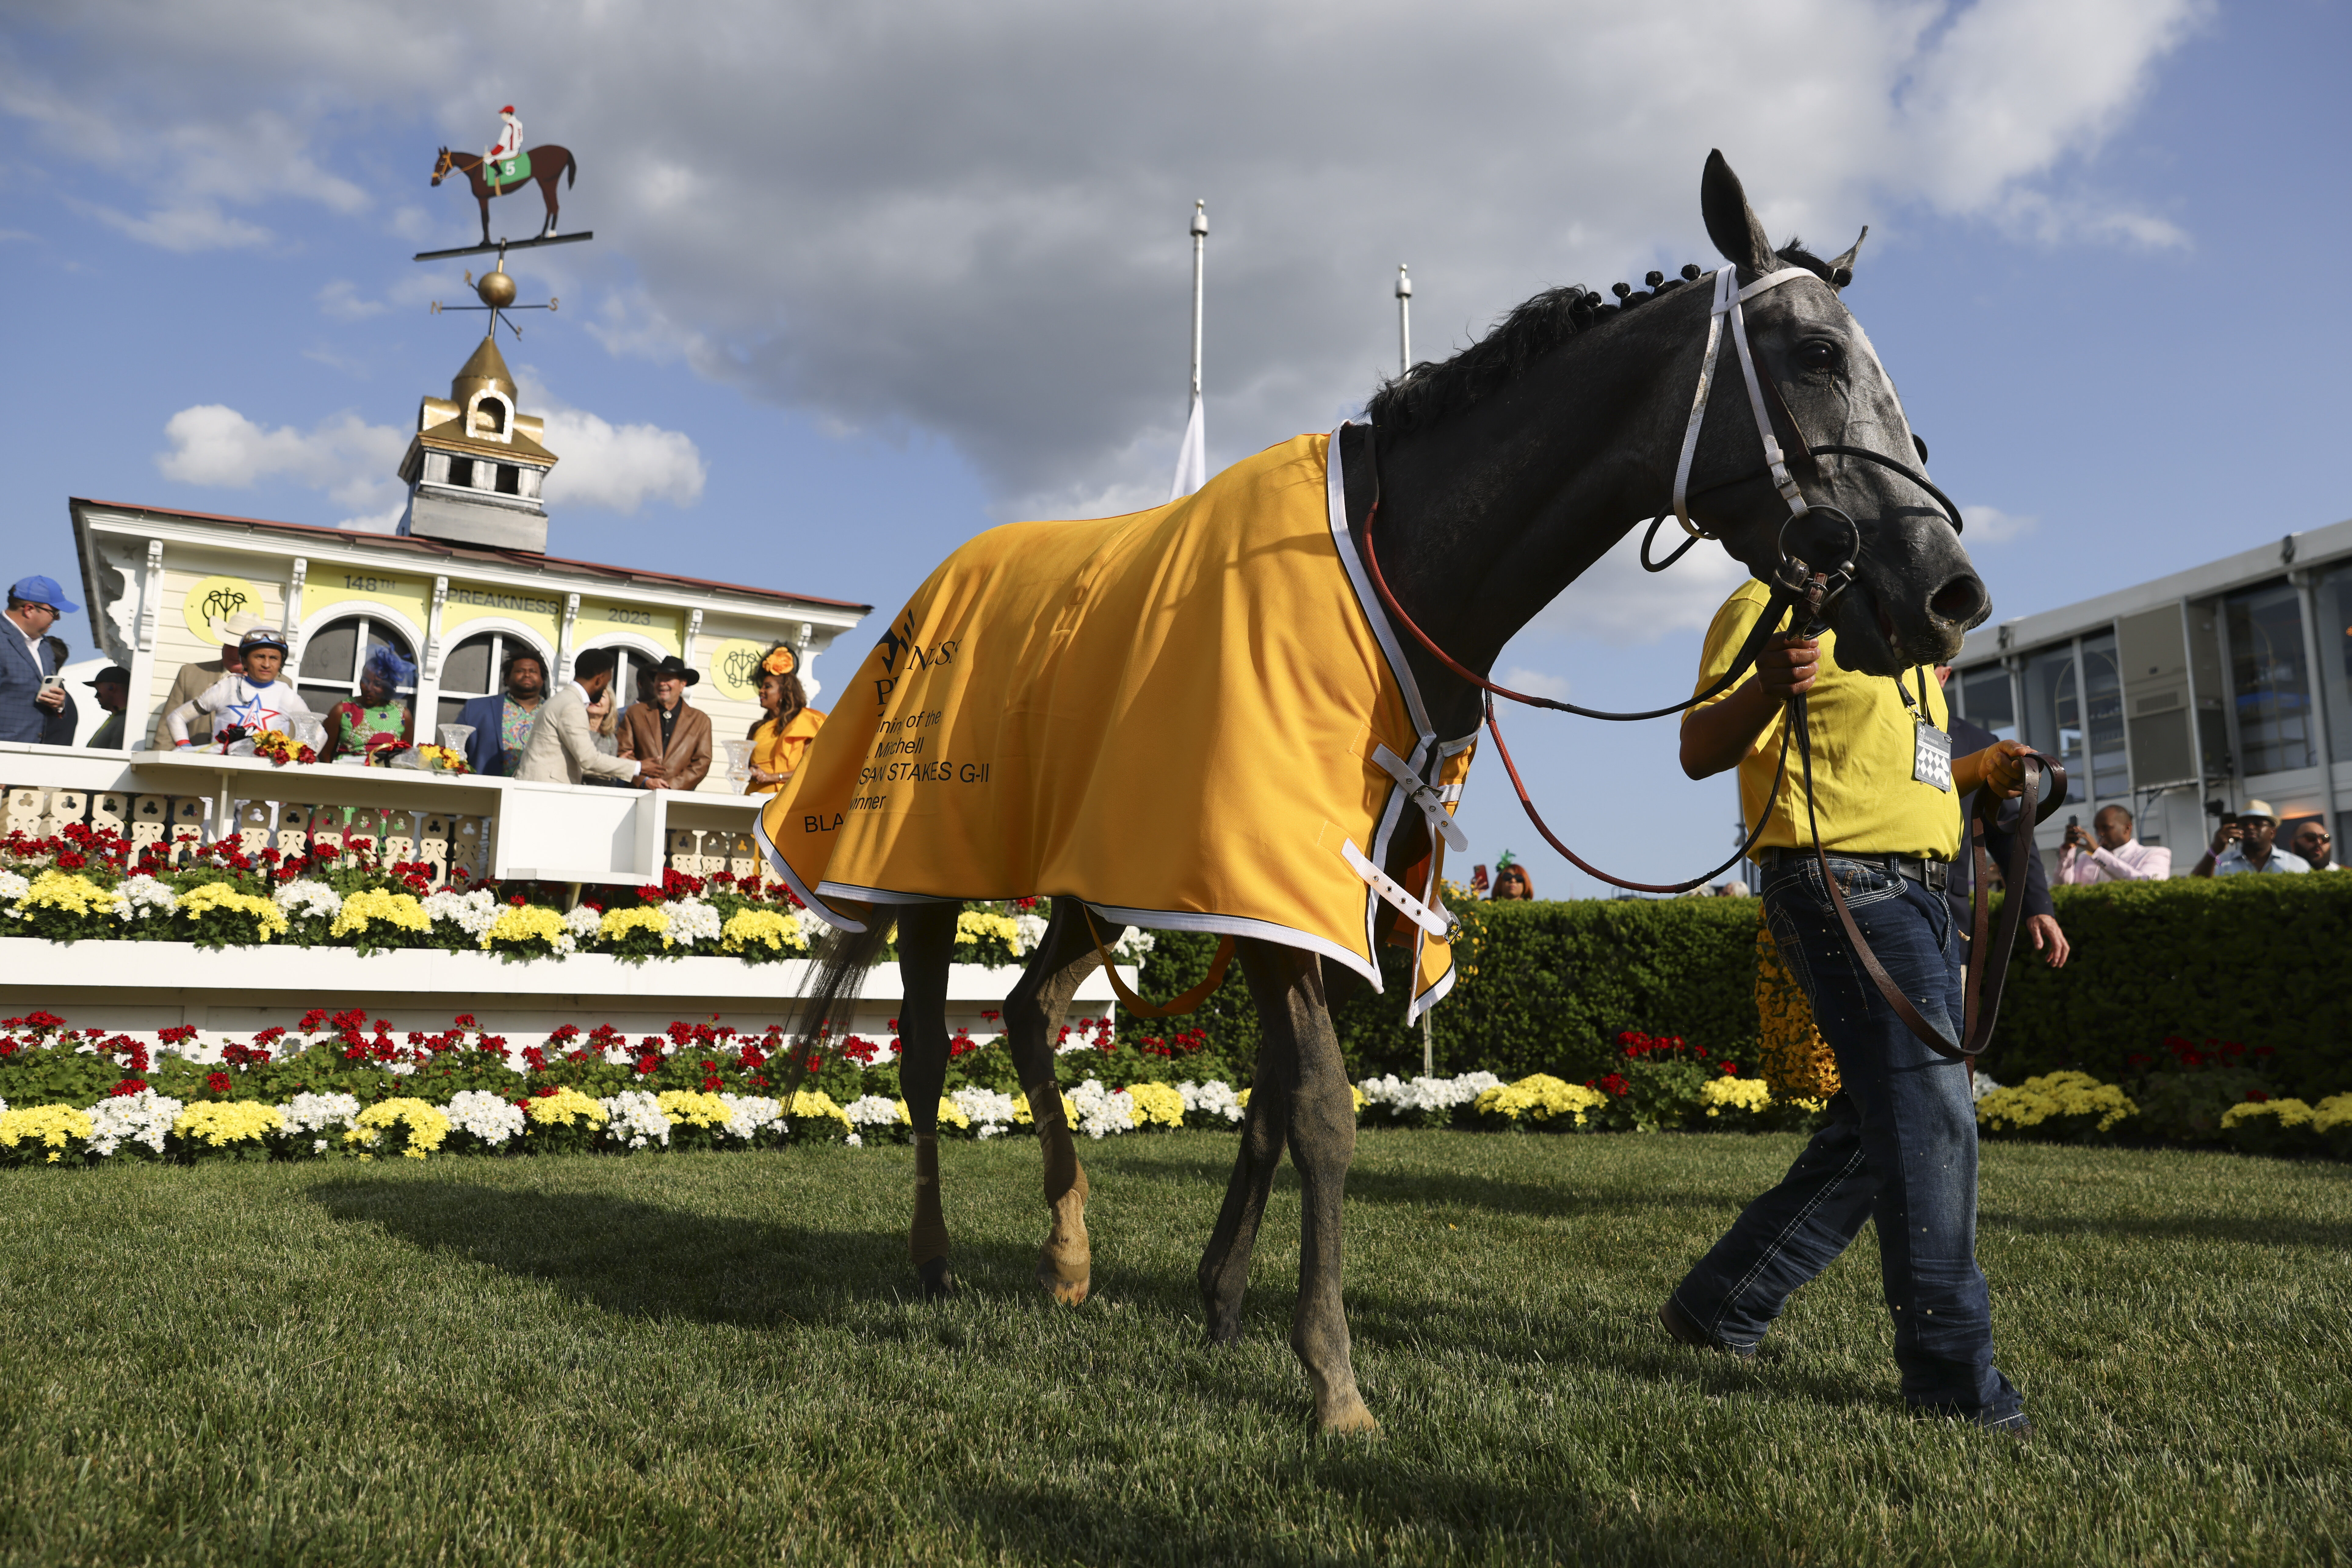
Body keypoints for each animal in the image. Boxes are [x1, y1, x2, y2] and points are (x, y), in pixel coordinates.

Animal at [790, 150, 1985, 1439]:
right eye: (1815, 354)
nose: (1946, 592)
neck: (1402, 566)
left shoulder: (1308, 885)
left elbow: (1271, 1100)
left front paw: (1221, 1298)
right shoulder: (1272, 887)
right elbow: (1319, 1107)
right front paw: (1331, 1374)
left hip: (1094, 881)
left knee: (1023, 1011)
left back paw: (1067, 1251)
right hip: (924, 864)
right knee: (922, 1049)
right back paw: (932, 1252)